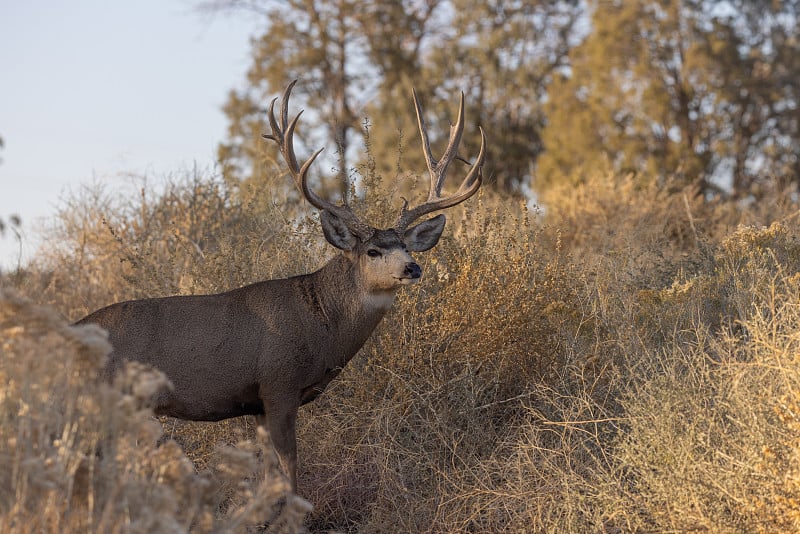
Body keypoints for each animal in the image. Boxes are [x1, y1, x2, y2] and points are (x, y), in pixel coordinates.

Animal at [78, 80, 484, 494]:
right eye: (372, 251)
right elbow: (289, 469)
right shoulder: (278, 385)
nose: (412, 267)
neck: (321, 322)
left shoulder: (257, 404)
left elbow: (268, 473)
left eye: (406, 247)